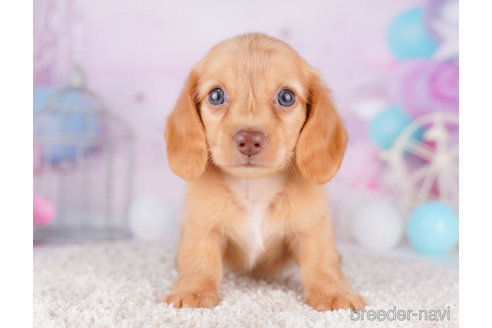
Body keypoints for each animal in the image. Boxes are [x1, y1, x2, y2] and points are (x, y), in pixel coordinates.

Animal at [164, 34, 366, 312]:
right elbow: (200, 261)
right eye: (216, 95)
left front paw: (334, 293)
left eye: (286, 97)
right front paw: (193, 290)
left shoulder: (313, 228)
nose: (249, 139)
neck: (254, 190)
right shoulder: (202, 227)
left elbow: (320, 263)